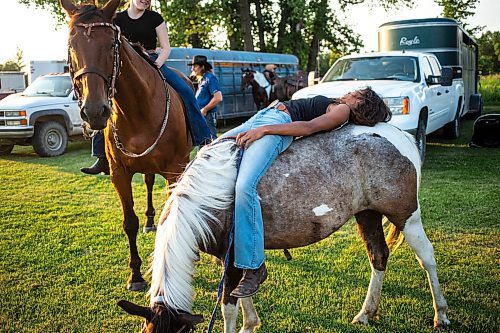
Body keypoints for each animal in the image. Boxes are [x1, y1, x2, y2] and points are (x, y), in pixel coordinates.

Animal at [61, 0, 194, 290]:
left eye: (112, 43)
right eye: (72, 45)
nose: (94, 111)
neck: (138, 111)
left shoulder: (174, 170)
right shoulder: (119, 174)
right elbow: (129, 222)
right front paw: (136, 275)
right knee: (148, 182)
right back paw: (149, 222)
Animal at [119, 124, 452, 332]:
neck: (206, 196)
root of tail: (402, 136)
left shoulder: (232, 255)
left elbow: (228, 306)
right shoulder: (236, 256)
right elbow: (243, 294)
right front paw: (251, 324)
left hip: (406, 215)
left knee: (427, 257)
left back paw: (441, 315)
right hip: (367, 215)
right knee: (379, 257)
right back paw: (366, 313)